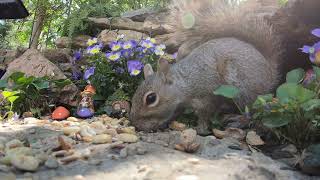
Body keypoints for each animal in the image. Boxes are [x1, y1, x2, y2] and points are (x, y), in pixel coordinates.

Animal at [129, 0, 284, 135]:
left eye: (151, 98)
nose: (136, 124)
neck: (184, 83)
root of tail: (270, 72)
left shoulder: (206, 96)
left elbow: (205, 114)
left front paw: (200, 129)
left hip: (241, 85)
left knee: (252, 108)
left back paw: (239, 120)